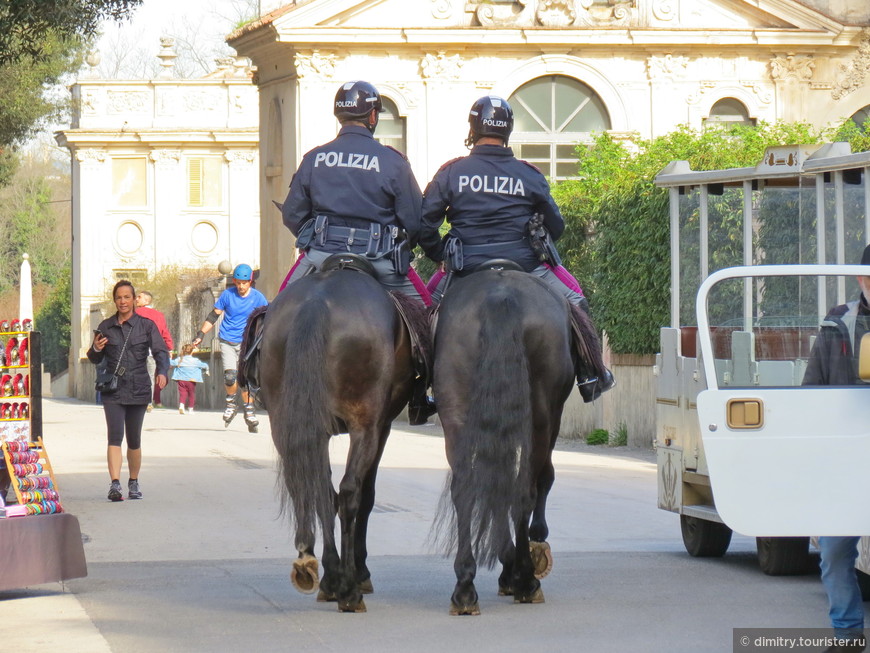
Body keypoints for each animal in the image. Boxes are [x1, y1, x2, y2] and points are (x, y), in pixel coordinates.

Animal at [258, 264, 416, 612]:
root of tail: (316, 302)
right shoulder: (380, 426)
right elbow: (365, 495)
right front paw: (360, 572)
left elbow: (322, 491)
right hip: (364, 425)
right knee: (348, 492)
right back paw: (347, 588)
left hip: (287, 421)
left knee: (311, 486)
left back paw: (317, 569)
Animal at [436, 268, 584, 612]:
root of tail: (500, 296)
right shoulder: (551, 420)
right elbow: (542, 479)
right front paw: (522, 559)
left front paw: (506, 566)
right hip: (541, 420)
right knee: (526, 489)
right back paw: (527, 581)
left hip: (456, 416)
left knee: (466, 490)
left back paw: (465, 587)